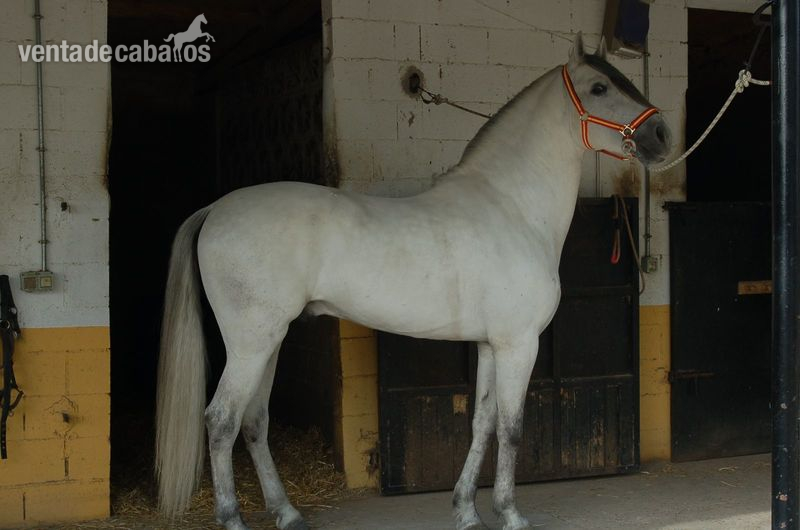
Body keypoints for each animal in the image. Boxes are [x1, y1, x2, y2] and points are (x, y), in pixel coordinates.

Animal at [155, 33, 671, 530]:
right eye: (600, 88)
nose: (662, 136)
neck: (511, 206)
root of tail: (215, 210)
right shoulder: (518, 343)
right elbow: (511, 428)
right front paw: (510, 514)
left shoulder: (490, 345)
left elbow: (482, 423)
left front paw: (466, 512)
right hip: (250, 343)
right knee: (221, 421)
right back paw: (232, 517)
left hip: (269, 342)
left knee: (254, 422)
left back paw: (288, 513)